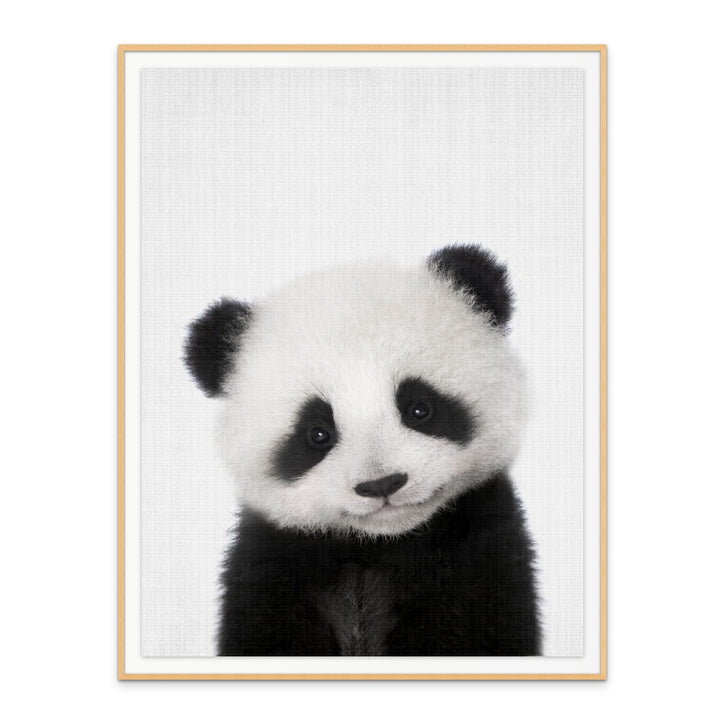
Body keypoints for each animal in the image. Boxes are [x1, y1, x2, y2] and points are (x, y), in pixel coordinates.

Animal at [184, 244, 540, 656]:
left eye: (420, 408)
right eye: (317, 433)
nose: (382, 484)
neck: (377, 546)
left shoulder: (478, 550)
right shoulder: (274, 562)